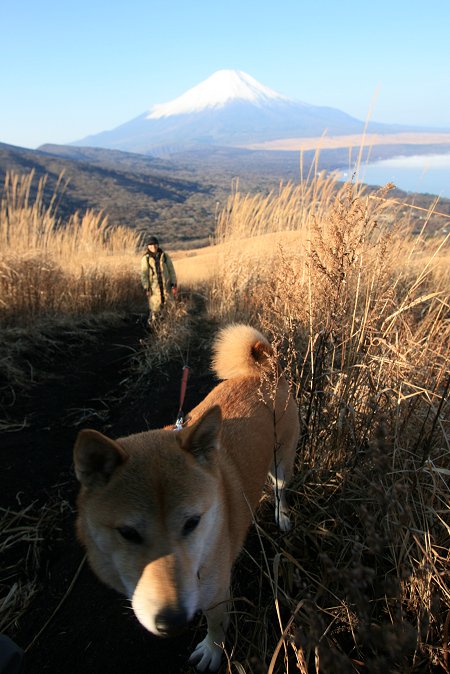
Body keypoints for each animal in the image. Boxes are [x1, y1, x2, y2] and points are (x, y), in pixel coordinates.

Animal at [74, 322, 298, 668]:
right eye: (128, 533)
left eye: (192, 522)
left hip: (281, 464)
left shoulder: (217, 590)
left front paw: (212, 650)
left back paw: (282, 517)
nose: (173, 622)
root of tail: (265, 372)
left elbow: (217, 623)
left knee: (281, 491)